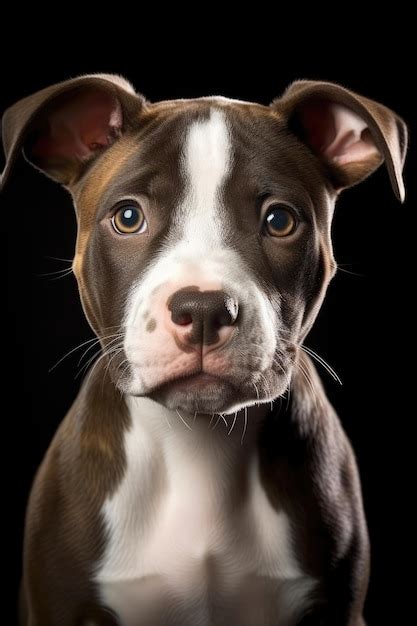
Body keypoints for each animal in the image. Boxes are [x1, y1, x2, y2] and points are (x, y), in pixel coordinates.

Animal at [1, 74, 404, 624]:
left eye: (279, 221)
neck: (196, 442)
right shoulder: (57, 605)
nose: (206, 308)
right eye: (128, 216)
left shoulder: (337, 606)